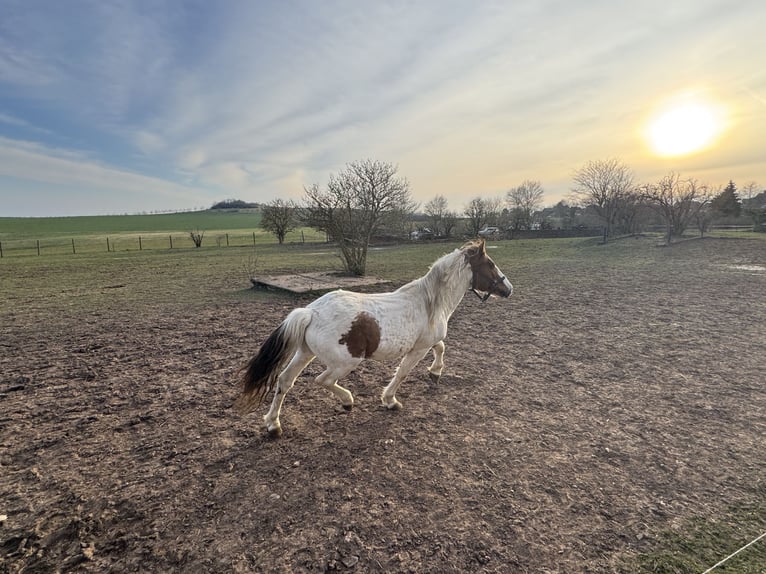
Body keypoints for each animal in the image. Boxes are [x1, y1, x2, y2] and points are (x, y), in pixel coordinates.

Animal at [234, 239, 512, 437]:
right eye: (490, 264)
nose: (508, 288)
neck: (429, 303)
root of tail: (311, 312)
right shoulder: (418, 349)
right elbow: (403, 373)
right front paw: (390, 401)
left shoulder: (428, 343)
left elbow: (441, 347)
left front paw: (435, 373)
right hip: (346, 362)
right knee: (323, 380)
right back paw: (347, 401)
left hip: (305, 353)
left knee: (284, 381)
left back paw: (273, 425)